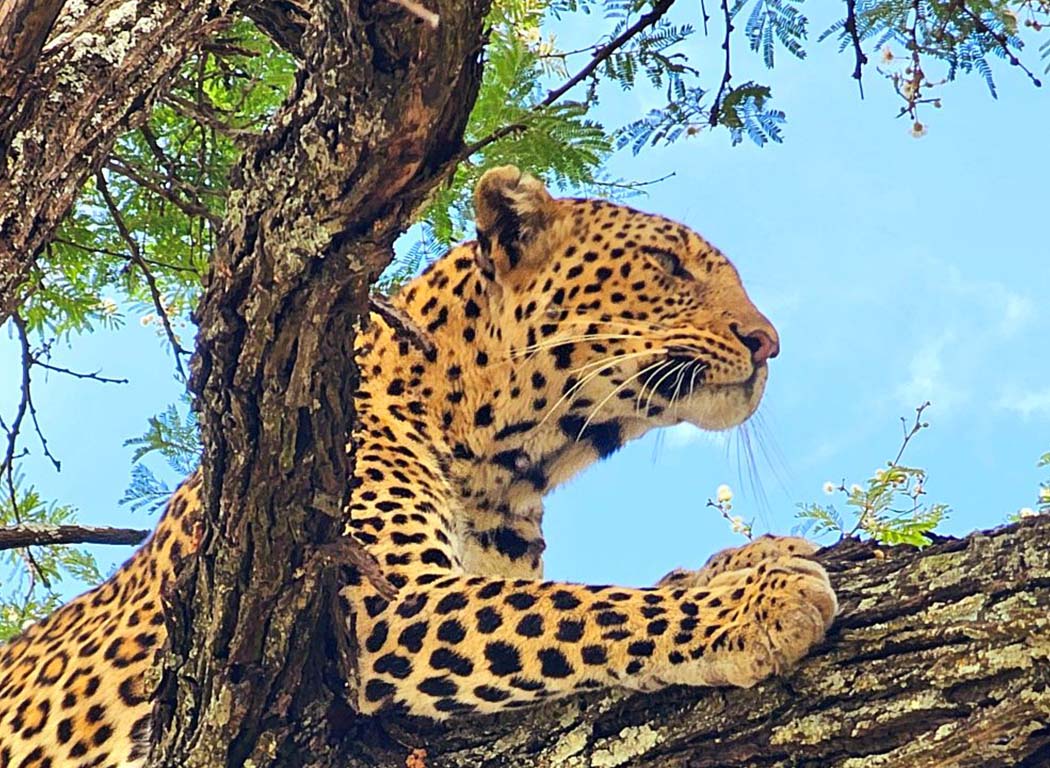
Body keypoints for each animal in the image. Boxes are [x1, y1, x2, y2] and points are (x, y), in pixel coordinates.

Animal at [0, 164, 835, 764]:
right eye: (667, 266)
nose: (769, 342)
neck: (505, 465)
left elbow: (608, 588)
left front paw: (745, 559)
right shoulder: (384, 602)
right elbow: (582, 607)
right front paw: (758, 603)